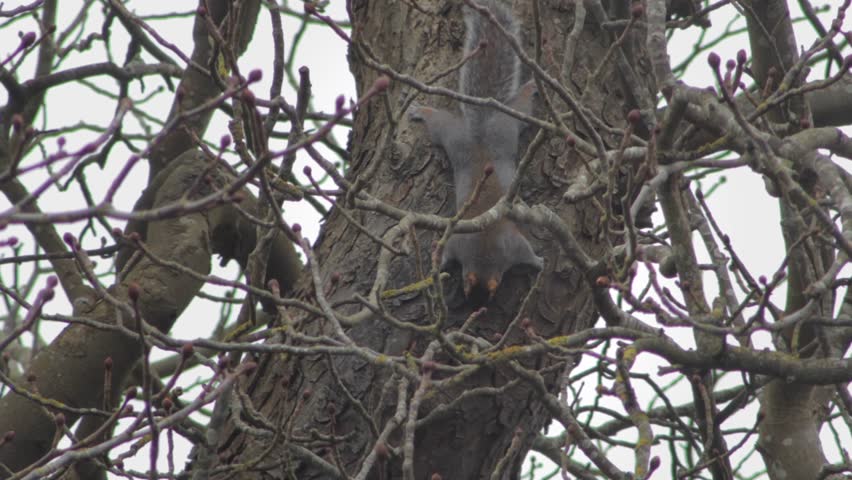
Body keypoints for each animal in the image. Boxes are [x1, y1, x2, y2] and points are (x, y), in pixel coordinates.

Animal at [409, 0, 542, 299]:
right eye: (468, 289)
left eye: (489, 294)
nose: (474, 303)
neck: (484, 252)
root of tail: (481, 126)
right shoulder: (466, 244)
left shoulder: (509, 247)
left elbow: (526, 252)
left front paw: (538, 261)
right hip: (460, 135)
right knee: (440, 123)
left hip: (499, 128)